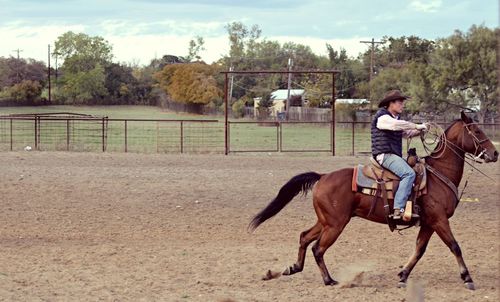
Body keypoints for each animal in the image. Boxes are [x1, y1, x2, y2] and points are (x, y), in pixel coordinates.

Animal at [249, 112, 496, 290]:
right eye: (476, 130)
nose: (495, 154)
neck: (437, 175)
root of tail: (323, 176)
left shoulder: (428, 222)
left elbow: (419, 249)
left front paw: (403, 275)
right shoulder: (439, 220)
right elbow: (454, 246)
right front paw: (467, 278)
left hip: (326, 221)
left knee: (304, 237)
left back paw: (291, 269)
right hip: (336, 224)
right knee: (318, 248)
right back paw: (329, 280)